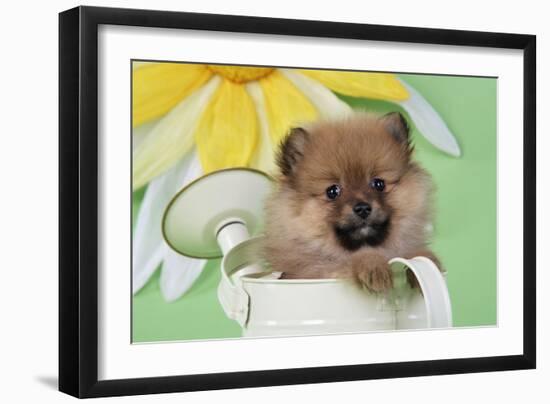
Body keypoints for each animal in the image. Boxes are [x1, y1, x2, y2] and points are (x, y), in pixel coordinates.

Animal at [266, 112, 442, 292]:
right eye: (332, 191)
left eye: (379, 184)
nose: (363, 208)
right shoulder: (318, 270)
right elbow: (351, 261)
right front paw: (373, 266)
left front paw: (428, 263)